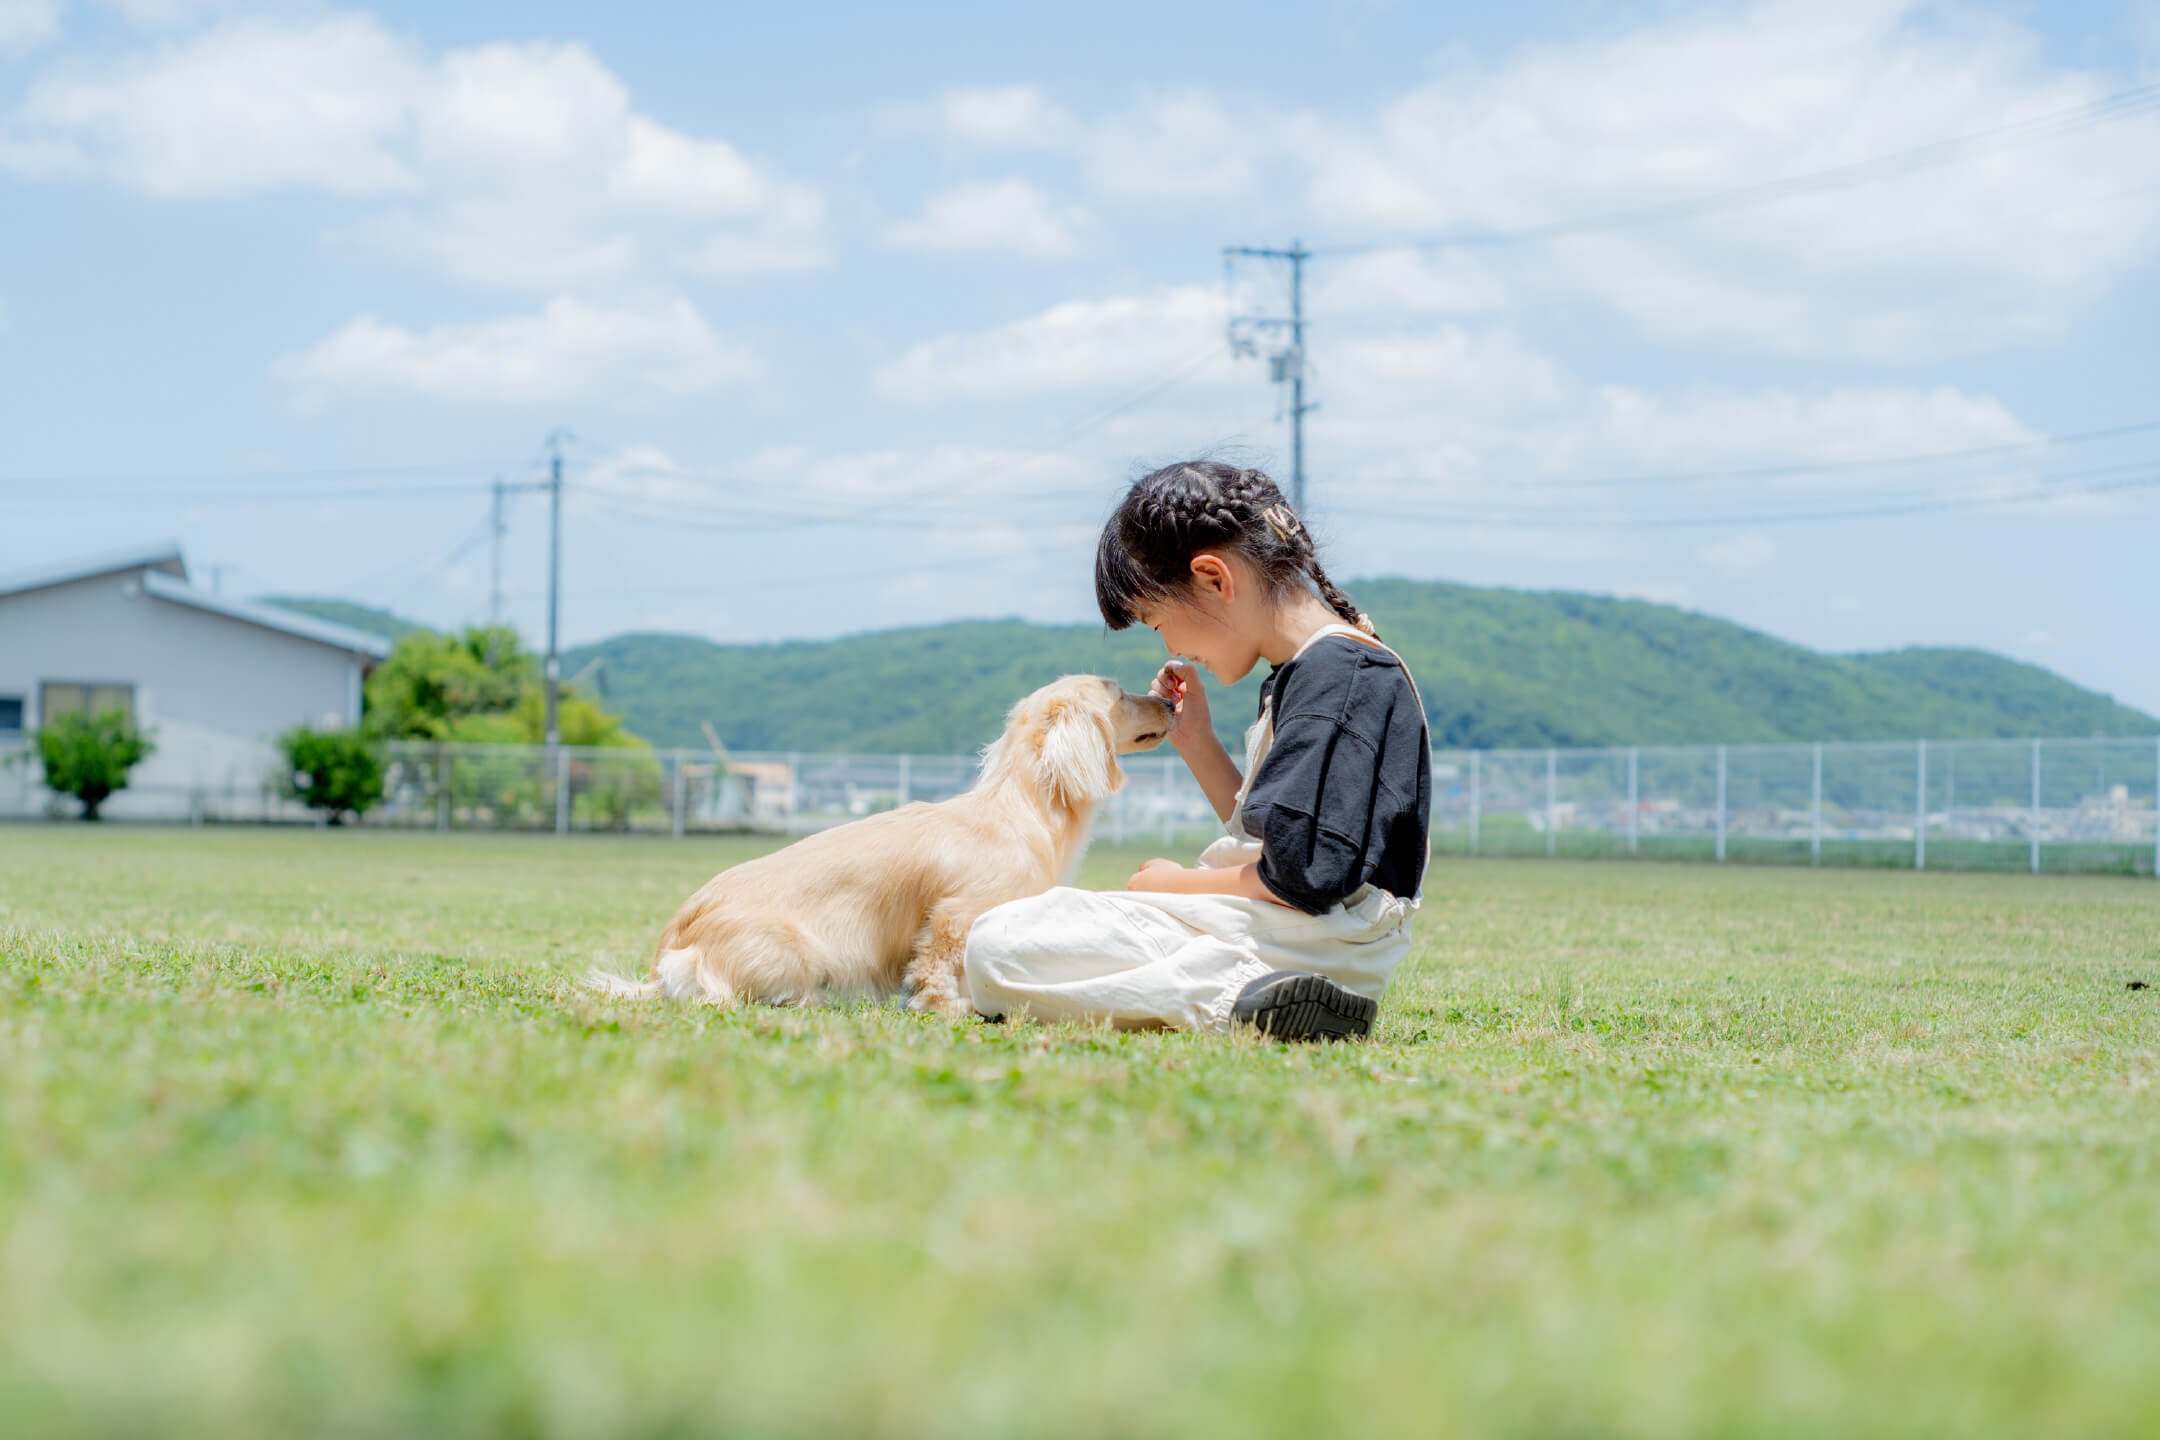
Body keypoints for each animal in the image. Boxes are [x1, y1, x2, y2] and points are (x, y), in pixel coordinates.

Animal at [583, 673, 1175, 1014]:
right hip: (797, 950)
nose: (1171, 702)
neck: (1020, 810)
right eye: (1120, 693)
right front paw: (949, 1007)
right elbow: (938, 965)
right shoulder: (958, 914)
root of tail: (665, 958)